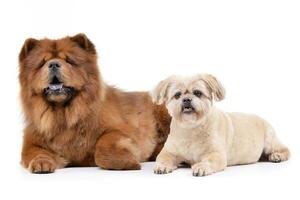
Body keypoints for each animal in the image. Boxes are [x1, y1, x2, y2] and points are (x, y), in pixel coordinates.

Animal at [19, 33, 171, 173]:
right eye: (42, 63)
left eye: (69, 61)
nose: (53, 64)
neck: (65, 116)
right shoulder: (31, 142)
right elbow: (36, 152)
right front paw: (41, 163)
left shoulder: (120, 130)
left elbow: (103, 145)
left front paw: (128, 162)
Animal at [151, 74, 290, 177]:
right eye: (177, 95)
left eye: (198, 93)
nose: (186, 99)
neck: (191, 128)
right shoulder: (169, 152)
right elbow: (163, 158)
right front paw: (162, 166)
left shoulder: (217, 154)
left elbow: (209, 160)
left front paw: (202, 166)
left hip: (270, 142)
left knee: (285, 150)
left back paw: (277, 156)